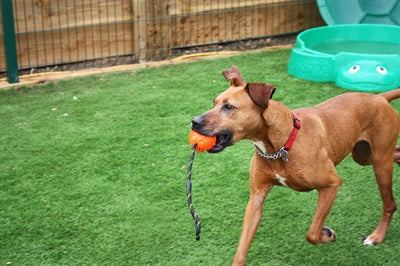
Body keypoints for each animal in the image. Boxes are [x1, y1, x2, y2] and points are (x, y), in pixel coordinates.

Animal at [191, 66, 400, 264]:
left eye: (229, 107)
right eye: (214, 103)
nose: (194, 122)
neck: (281, 145)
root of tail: (379, 97)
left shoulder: (331, 184)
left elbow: (312, 234)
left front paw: (327, 234)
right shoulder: (256, 198)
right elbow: (242, 246)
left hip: (379, 163)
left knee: (390, 203)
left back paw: (377, 236)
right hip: (364, 155)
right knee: (396, 152)